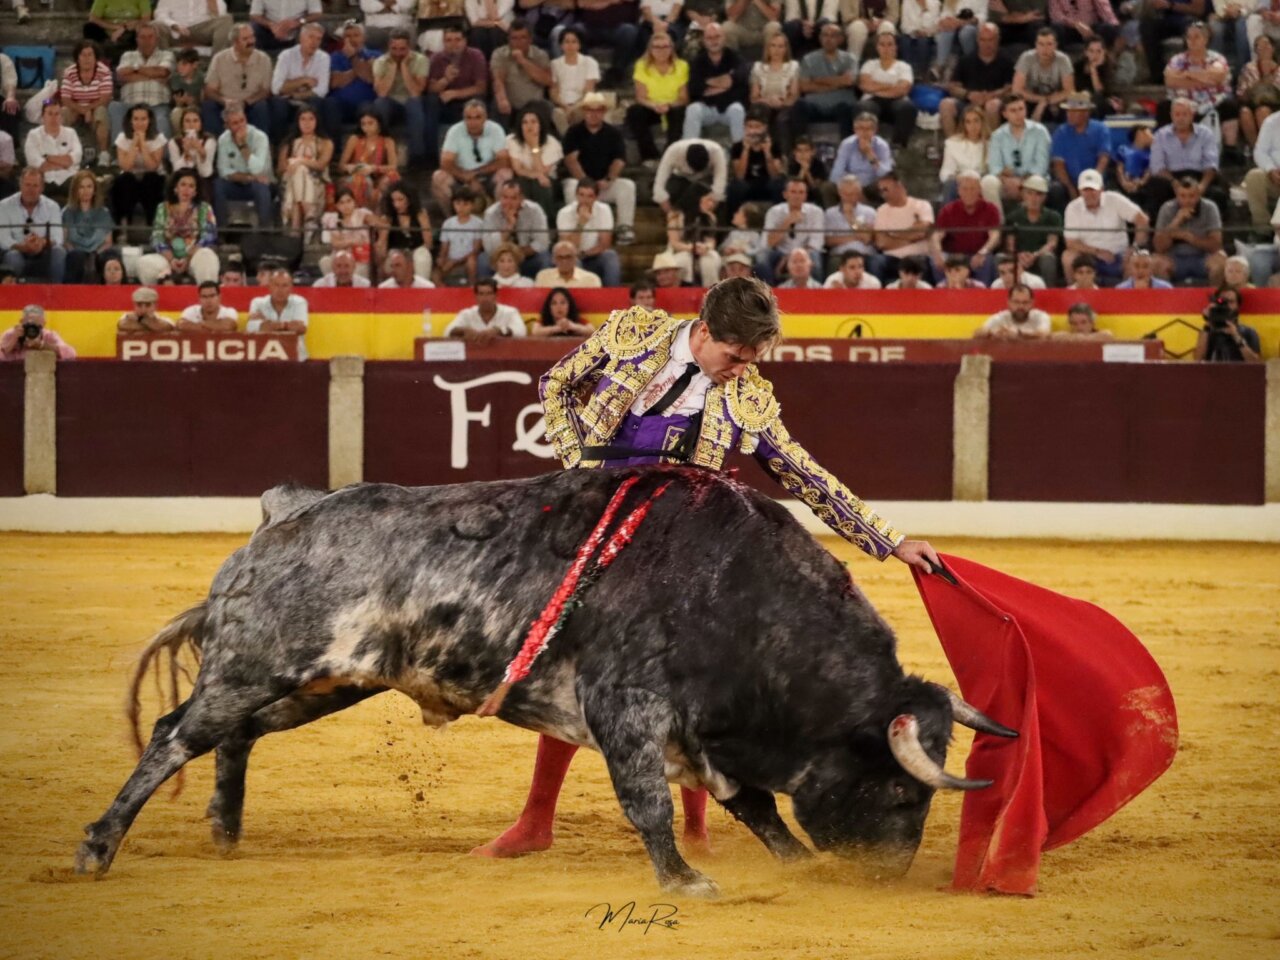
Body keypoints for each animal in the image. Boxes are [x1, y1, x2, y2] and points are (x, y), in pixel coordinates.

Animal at [75, 466, 1015, 896]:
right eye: (901, 792)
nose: (887, 874)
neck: (743, 599)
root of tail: (286, 511)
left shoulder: (709, 735)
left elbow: (755, 806)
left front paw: (791, 865)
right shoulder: (627, 708)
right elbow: (651, 801)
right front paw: (685, 880)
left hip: (322, 683)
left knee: (226, 735)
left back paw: (226, 829)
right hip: (260, 662)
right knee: (175, 735)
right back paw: (97, 848)